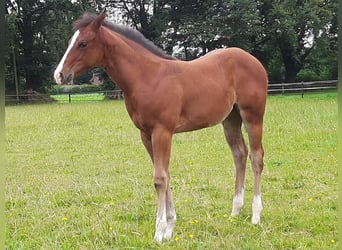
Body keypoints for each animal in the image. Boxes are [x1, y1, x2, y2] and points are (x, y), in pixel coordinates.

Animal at [54, 10, 268, 242]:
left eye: (83, 43)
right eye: (71, 41)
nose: (59, 75)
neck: (148, 77)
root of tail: (254, 61)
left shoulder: (162, 132)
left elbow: (159, 178)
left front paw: (159, 231)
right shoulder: (146, 134)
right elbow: (165, 174)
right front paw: (170, 228)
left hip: (253, 116)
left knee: (256, 157)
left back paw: (256, 215)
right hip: (230, 119)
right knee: (240, 154)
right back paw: (235, 211)